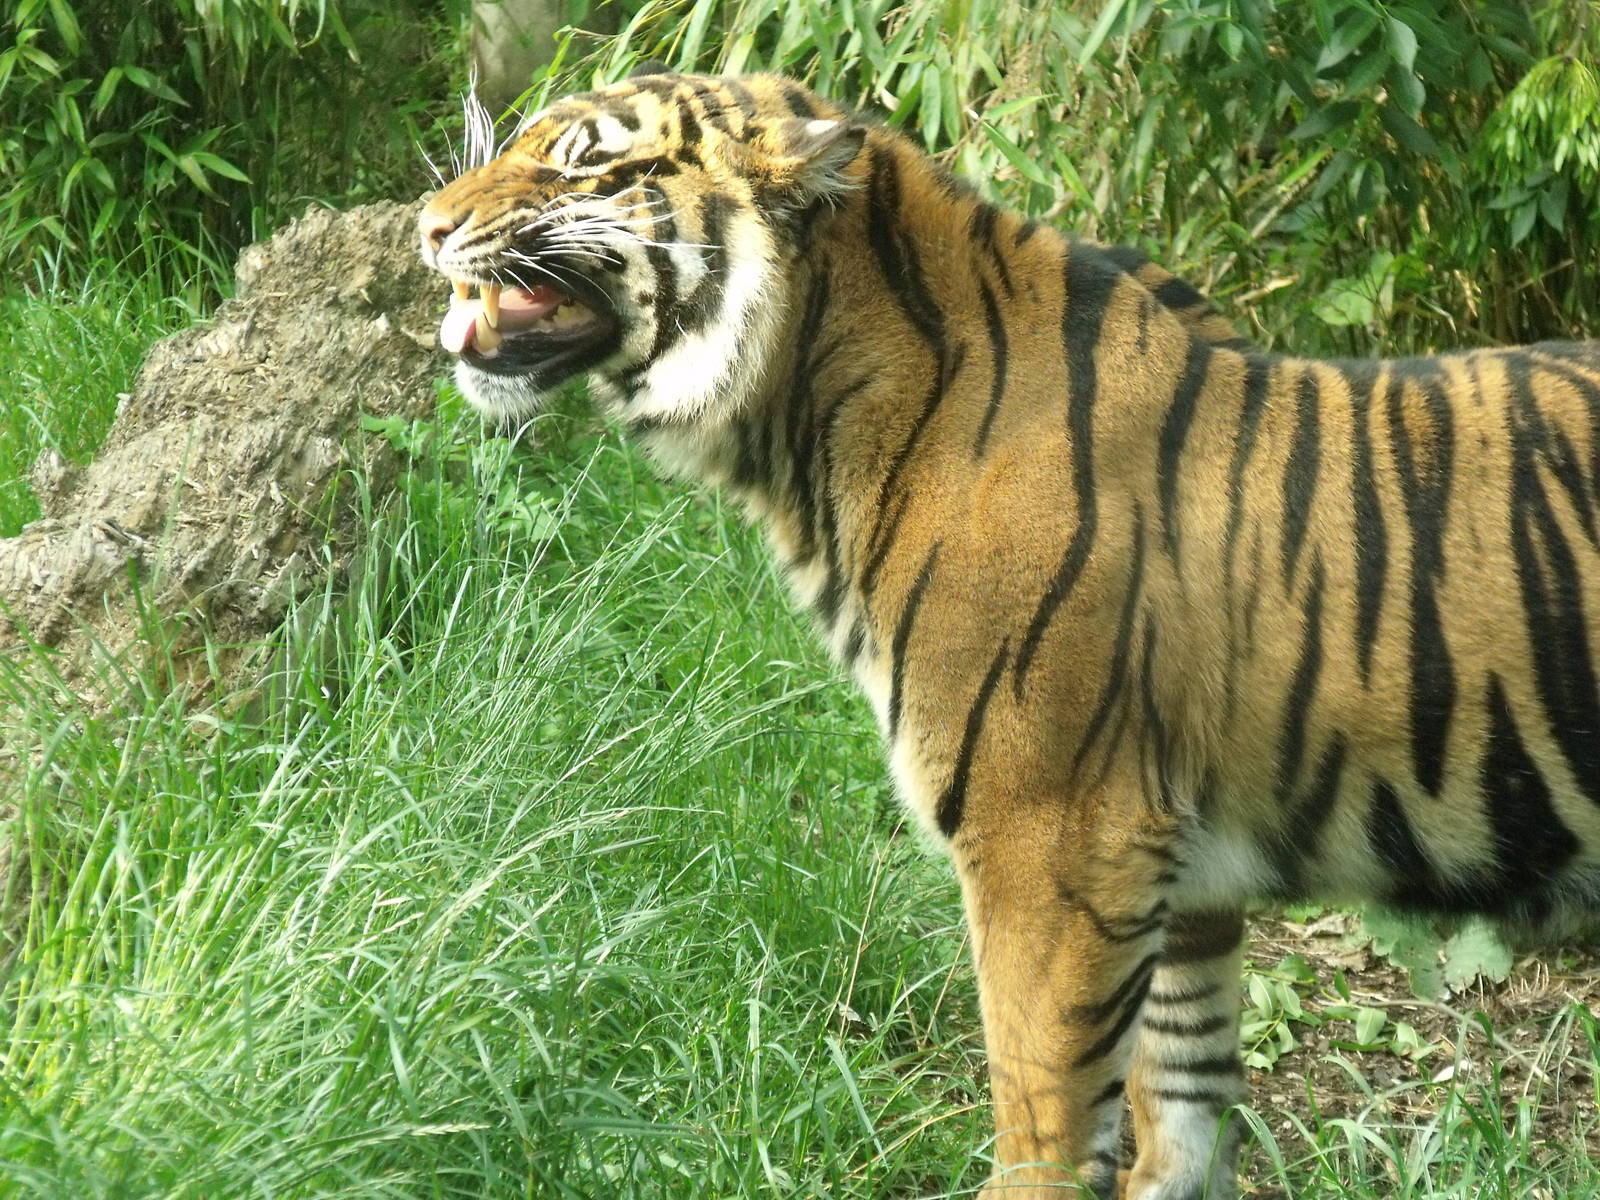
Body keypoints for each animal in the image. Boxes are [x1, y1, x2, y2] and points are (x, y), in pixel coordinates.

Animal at [416, 68, 1600, 1200]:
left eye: (581, 165)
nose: (426, 226)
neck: (812, 424)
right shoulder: (1184, 874)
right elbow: (1181, 1103)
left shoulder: (1055, 838)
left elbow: (1043, 1115)